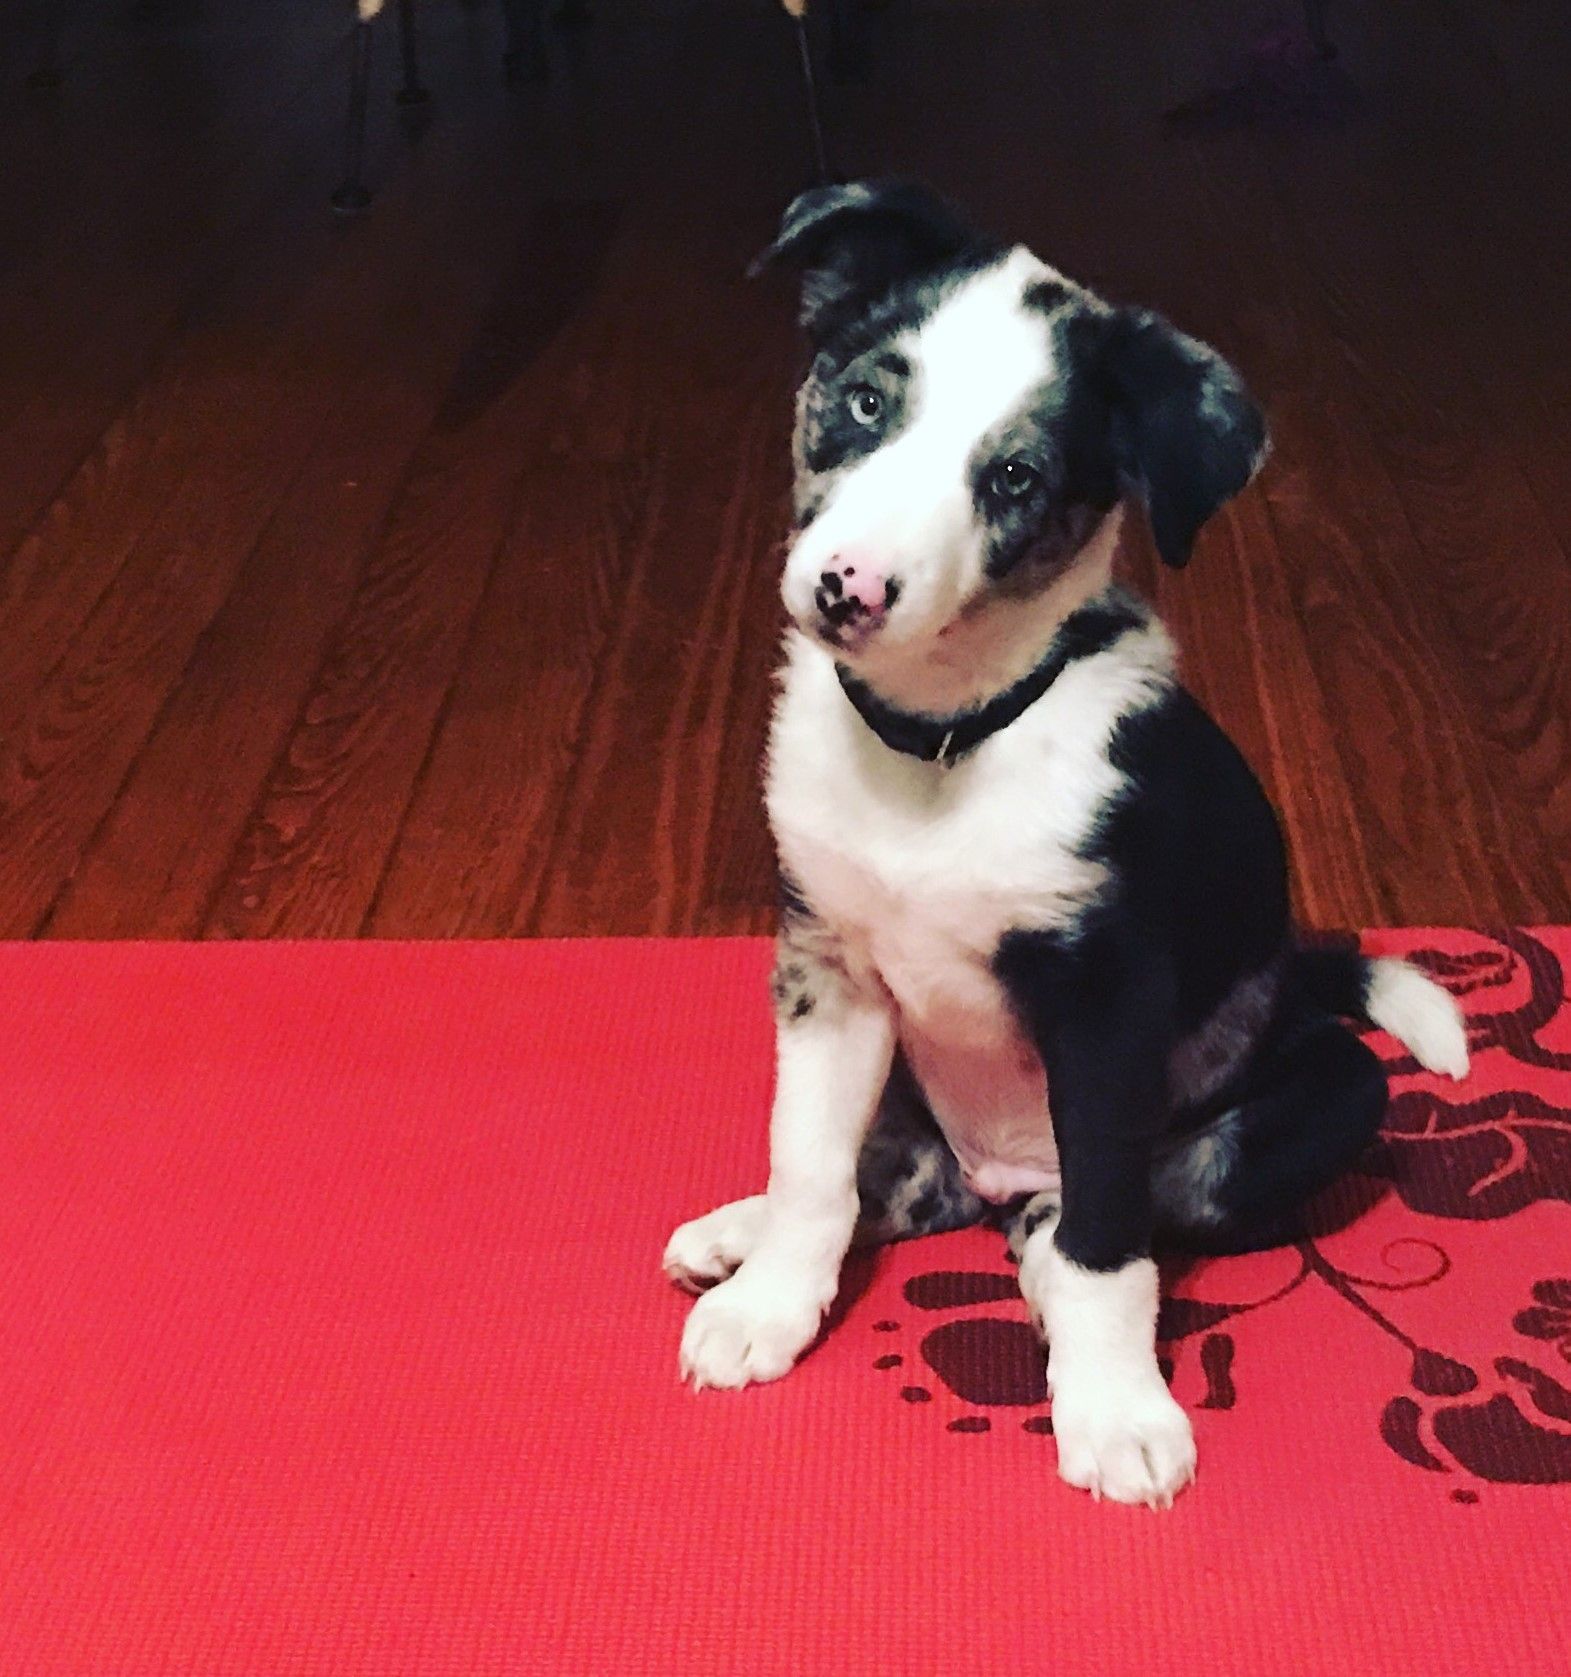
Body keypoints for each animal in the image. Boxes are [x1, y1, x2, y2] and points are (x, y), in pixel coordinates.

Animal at [657, 180, 1462, 1509]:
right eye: (865, 401)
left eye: (1016, 478)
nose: (845, 589)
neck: (942, 741)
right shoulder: (827, 967)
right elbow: (811, 1163)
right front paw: (769, 1302)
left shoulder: (1104, 1003)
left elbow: (1104, 1238)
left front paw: (1115, 1410)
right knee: (896, 1177)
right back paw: (739, 1231)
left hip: (1326, 1095)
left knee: (1100, 1212)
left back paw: (1034, 1267)